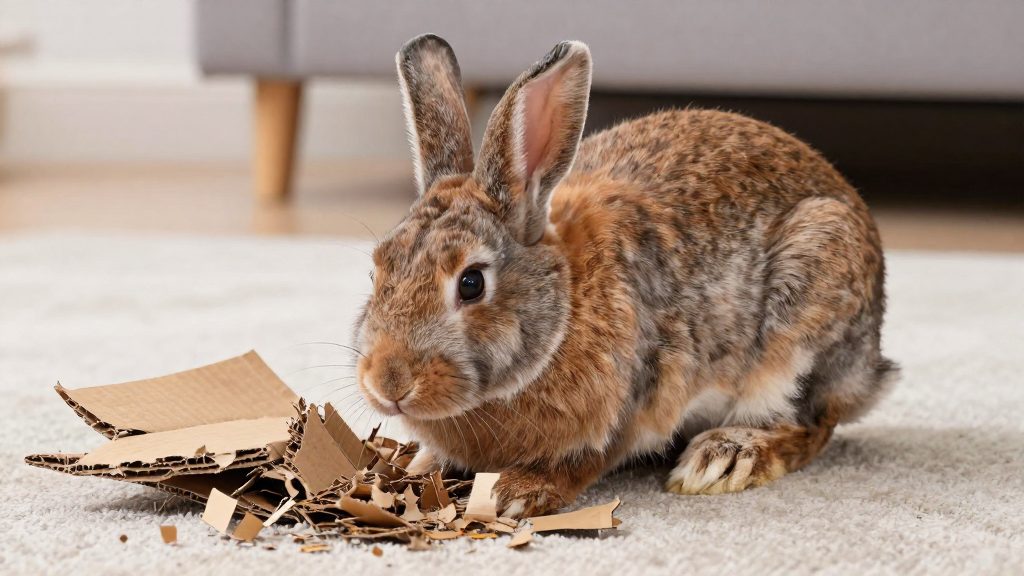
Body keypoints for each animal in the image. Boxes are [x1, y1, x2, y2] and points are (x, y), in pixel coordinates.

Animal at [352, 34, 898, 518]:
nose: (388, 383)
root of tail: (870, 369)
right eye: (377, 270)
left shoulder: (633, 400)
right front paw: (419, 470)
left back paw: (723, 459)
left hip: (802, 321)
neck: (565, 306)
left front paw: (513, 494)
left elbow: (586, 460)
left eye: (471, 283)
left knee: (811, 424)